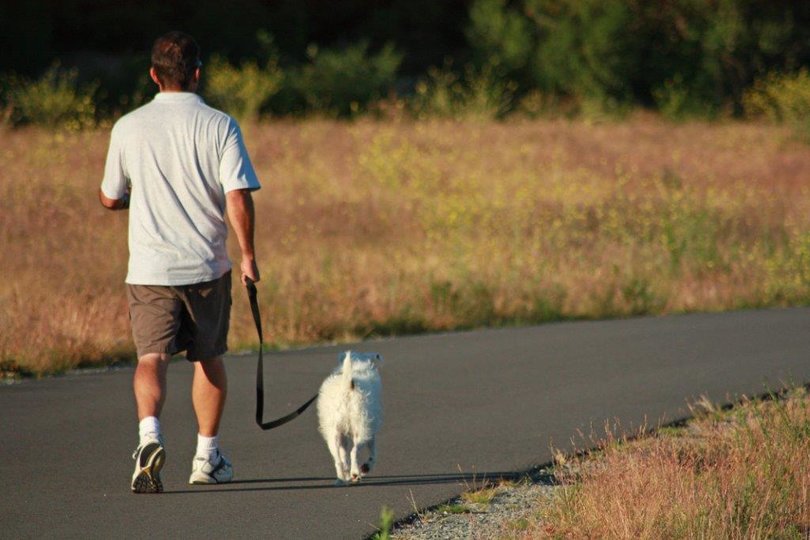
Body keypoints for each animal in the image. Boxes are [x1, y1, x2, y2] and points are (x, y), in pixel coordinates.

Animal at [316, 350, 382, 486]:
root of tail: (347, 387)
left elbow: (343, 456)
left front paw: (347, 474)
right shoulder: (371, 432)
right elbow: (373, 454)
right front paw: (366, 467)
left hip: (334, 435)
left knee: (338, 460)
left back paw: (341, 479)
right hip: (362, 429)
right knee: (354, 451)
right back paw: (356, 473)